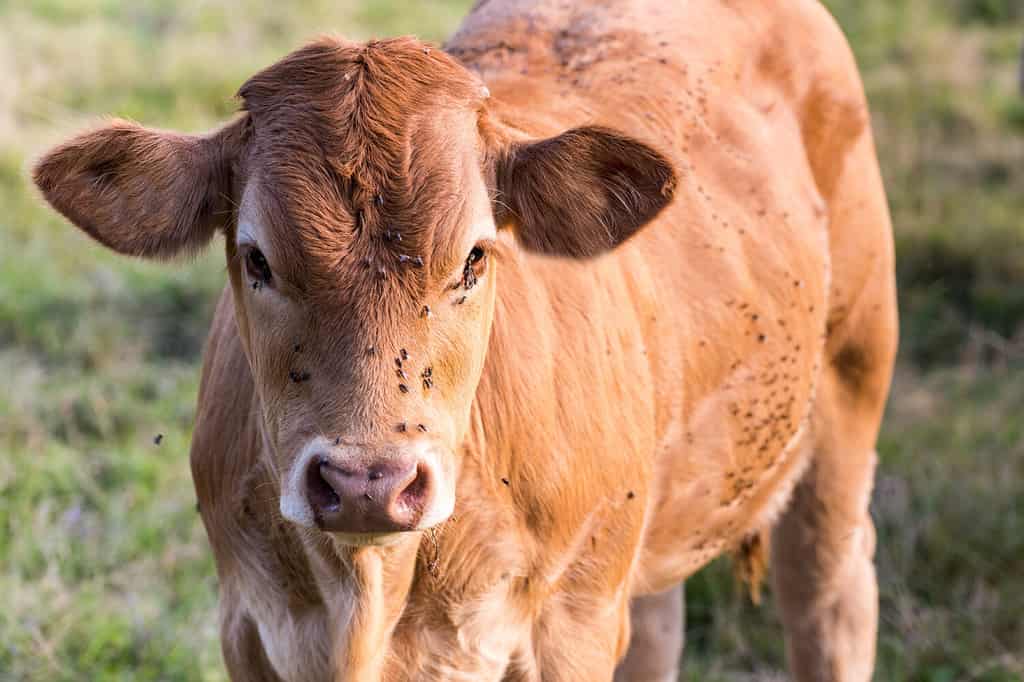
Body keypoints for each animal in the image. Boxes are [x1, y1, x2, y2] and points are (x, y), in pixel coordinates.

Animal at [32, 0, 897, 675]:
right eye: (256, 258)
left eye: (475, 256)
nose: (367, 483)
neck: (370, 592)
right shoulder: (249, 625)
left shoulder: (568, 632)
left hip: (846, 404)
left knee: (830, 599)